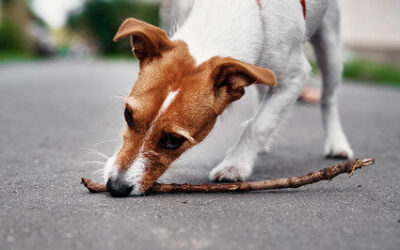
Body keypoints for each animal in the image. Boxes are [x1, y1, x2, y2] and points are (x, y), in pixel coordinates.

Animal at [102, 0, 354, 197]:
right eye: (128, 116)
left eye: (174, 140)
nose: (115, 187)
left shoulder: (296, 76)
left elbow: (259, 125)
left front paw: (235, 164)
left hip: (330, 46)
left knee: (328, 98)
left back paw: (337, 143)